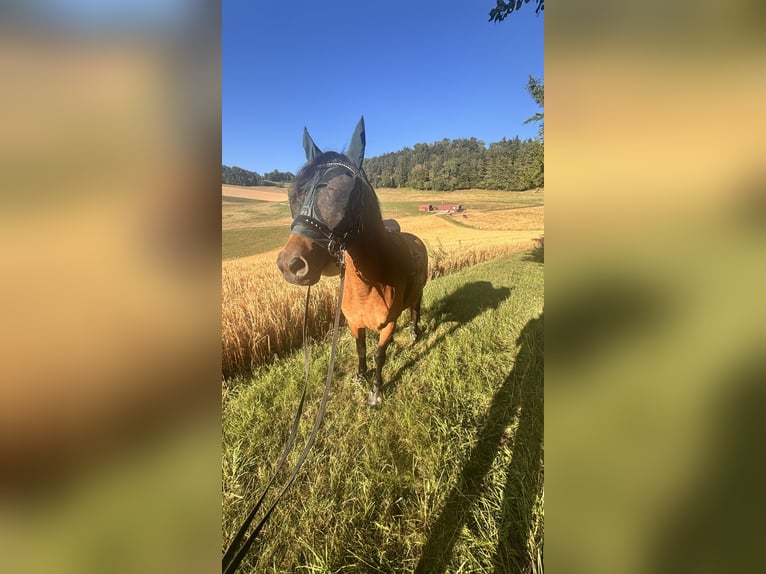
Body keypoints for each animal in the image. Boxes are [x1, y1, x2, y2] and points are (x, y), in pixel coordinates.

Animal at [276, 117, 428, 406]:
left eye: (341, 193)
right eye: (294, 195)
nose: (291, 265)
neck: (370, 285)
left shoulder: (387, 325)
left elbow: (380, 355)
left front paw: (376, 391)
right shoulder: (353, 323)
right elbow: (361, 349)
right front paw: (360, 375)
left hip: (420, 291)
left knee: (416, 309)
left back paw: (415, 332)